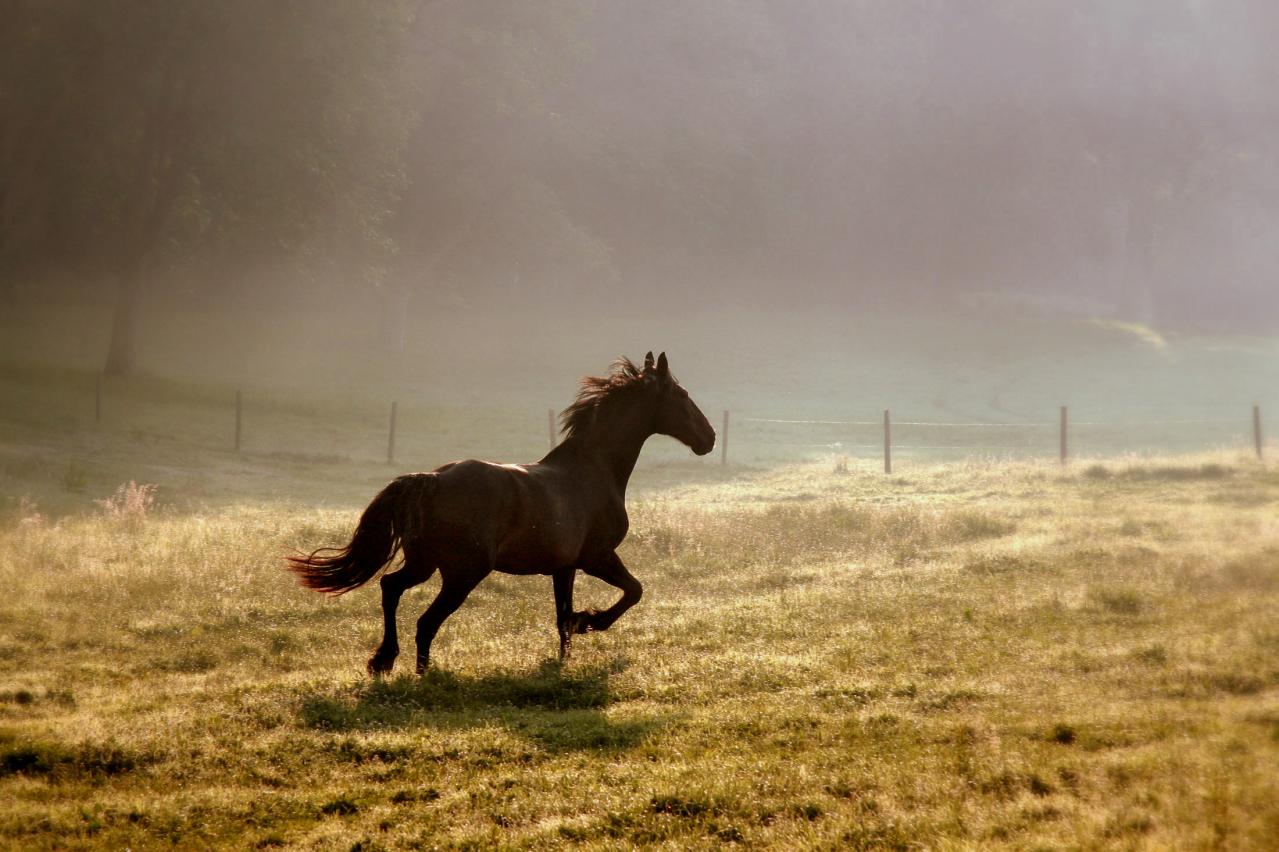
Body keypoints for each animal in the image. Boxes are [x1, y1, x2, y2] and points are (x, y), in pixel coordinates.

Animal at [283, 347, 716, 675]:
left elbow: (562, 618)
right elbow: (632, 591)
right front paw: (590, 621)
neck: (593, 471)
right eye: (681, 395)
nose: (709, 438)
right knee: (426, 620)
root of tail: (432, 479)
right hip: (463, 572)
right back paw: (423, 673)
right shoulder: (596, 556)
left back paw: (384, 661)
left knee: (391, 588)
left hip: (425, 563)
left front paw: (566, 658)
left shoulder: (565, 566)